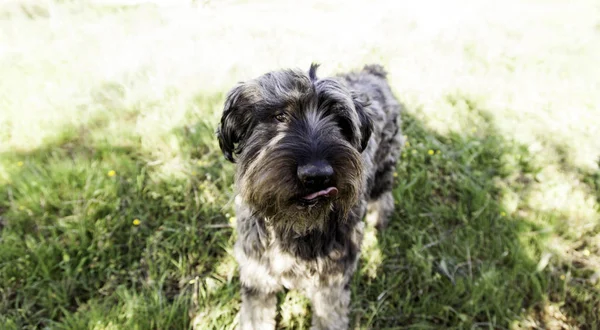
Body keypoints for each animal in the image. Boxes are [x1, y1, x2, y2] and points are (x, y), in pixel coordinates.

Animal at [216, 63, 404, 328]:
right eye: (279, 116)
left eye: (340, 121)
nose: (317, 175)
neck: (293, 226)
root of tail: (372, 72)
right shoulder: (257, 277)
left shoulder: (332, 283)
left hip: (383, 169)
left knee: (383, 196)